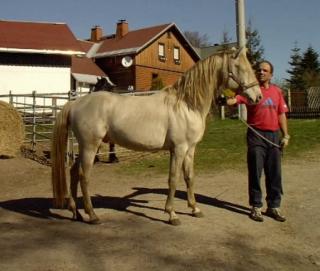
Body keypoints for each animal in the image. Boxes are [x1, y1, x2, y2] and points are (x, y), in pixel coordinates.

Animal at [51, 46, 262, 225]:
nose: (258, 96)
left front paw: (194, 209)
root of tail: (76, 104)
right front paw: (172, 214)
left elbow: (189, 177)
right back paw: (92, 215)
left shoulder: (190, 149)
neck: (186, 104)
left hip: (85, 148)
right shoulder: (179, 149)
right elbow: (173, 179)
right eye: (240, 68)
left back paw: (76, 212)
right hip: (90, 147)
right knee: (83, 176)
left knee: (73, 173)